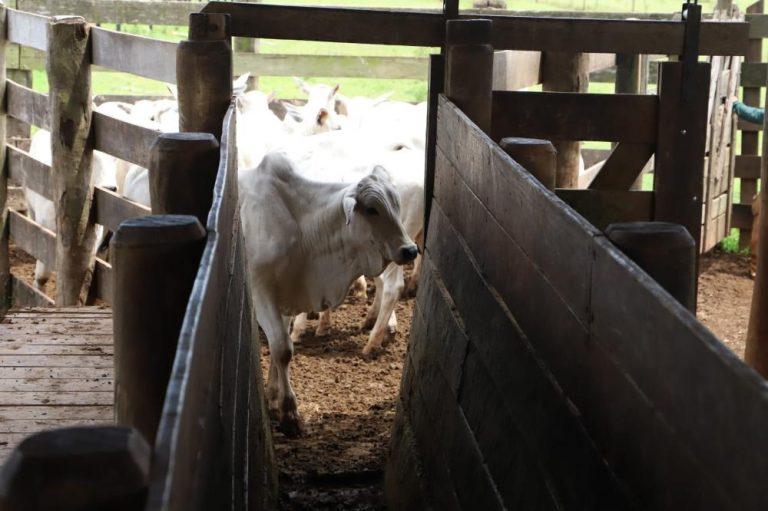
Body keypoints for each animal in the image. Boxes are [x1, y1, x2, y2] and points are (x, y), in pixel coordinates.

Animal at [242, 153, 416, 436]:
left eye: (397, 204)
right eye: (372, 209)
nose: (410, 249)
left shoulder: (287, 297)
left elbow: (282, 345)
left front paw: (273, 397)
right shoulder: (263, 293)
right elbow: (281, 349)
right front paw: (289, 413)